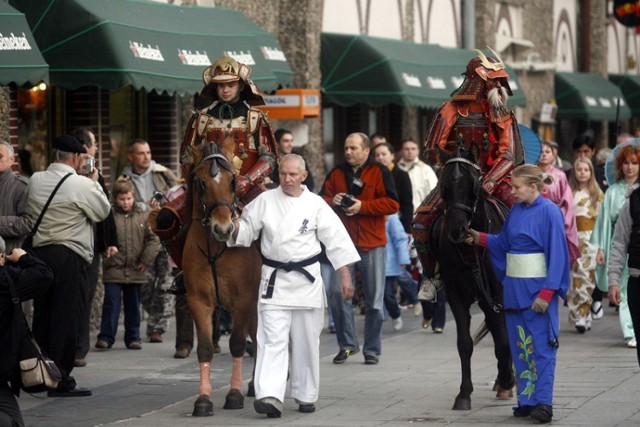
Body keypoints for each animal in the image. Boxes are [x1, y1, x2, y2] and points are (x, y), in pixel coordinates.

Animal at [182, 138, 262, 418]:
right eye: (201, 183)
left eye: (232, 181)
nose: (223, 228)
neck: (216, 249)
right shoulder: (199, 302)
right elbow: (205, 348)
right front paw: (203, 400)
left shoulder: (243, 300)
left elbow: (237, 343)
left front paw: (234, 395)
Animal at [430, 153, 516, 412]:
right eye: (444, 187)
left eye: (474, 186)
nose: (458, 230)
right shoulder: (457, 297)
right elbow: (465, 344)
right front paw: (464, 394)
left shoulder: (497, 296)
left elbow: (504, 341)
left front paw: (507, 382)